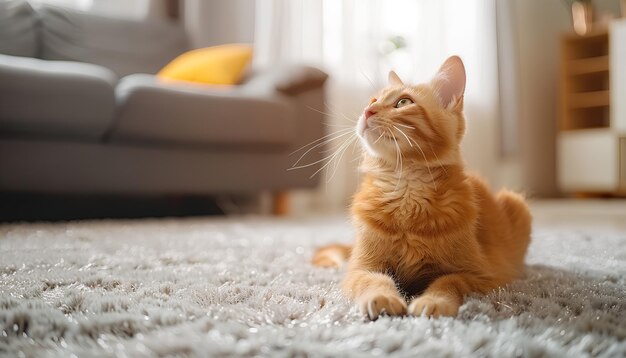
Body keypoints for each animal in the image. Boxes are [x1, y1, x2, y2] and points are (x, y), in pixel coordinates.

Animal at [310, 57, 528, 320]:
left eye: (403, 102)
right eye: (372, 101)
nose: (367, 111)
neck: (406, 189)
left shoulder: (482, 274)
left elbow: (449, 282)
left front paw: (434, 301)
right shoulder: (362, 268)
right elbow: (373, 280)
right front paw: (381, 297)